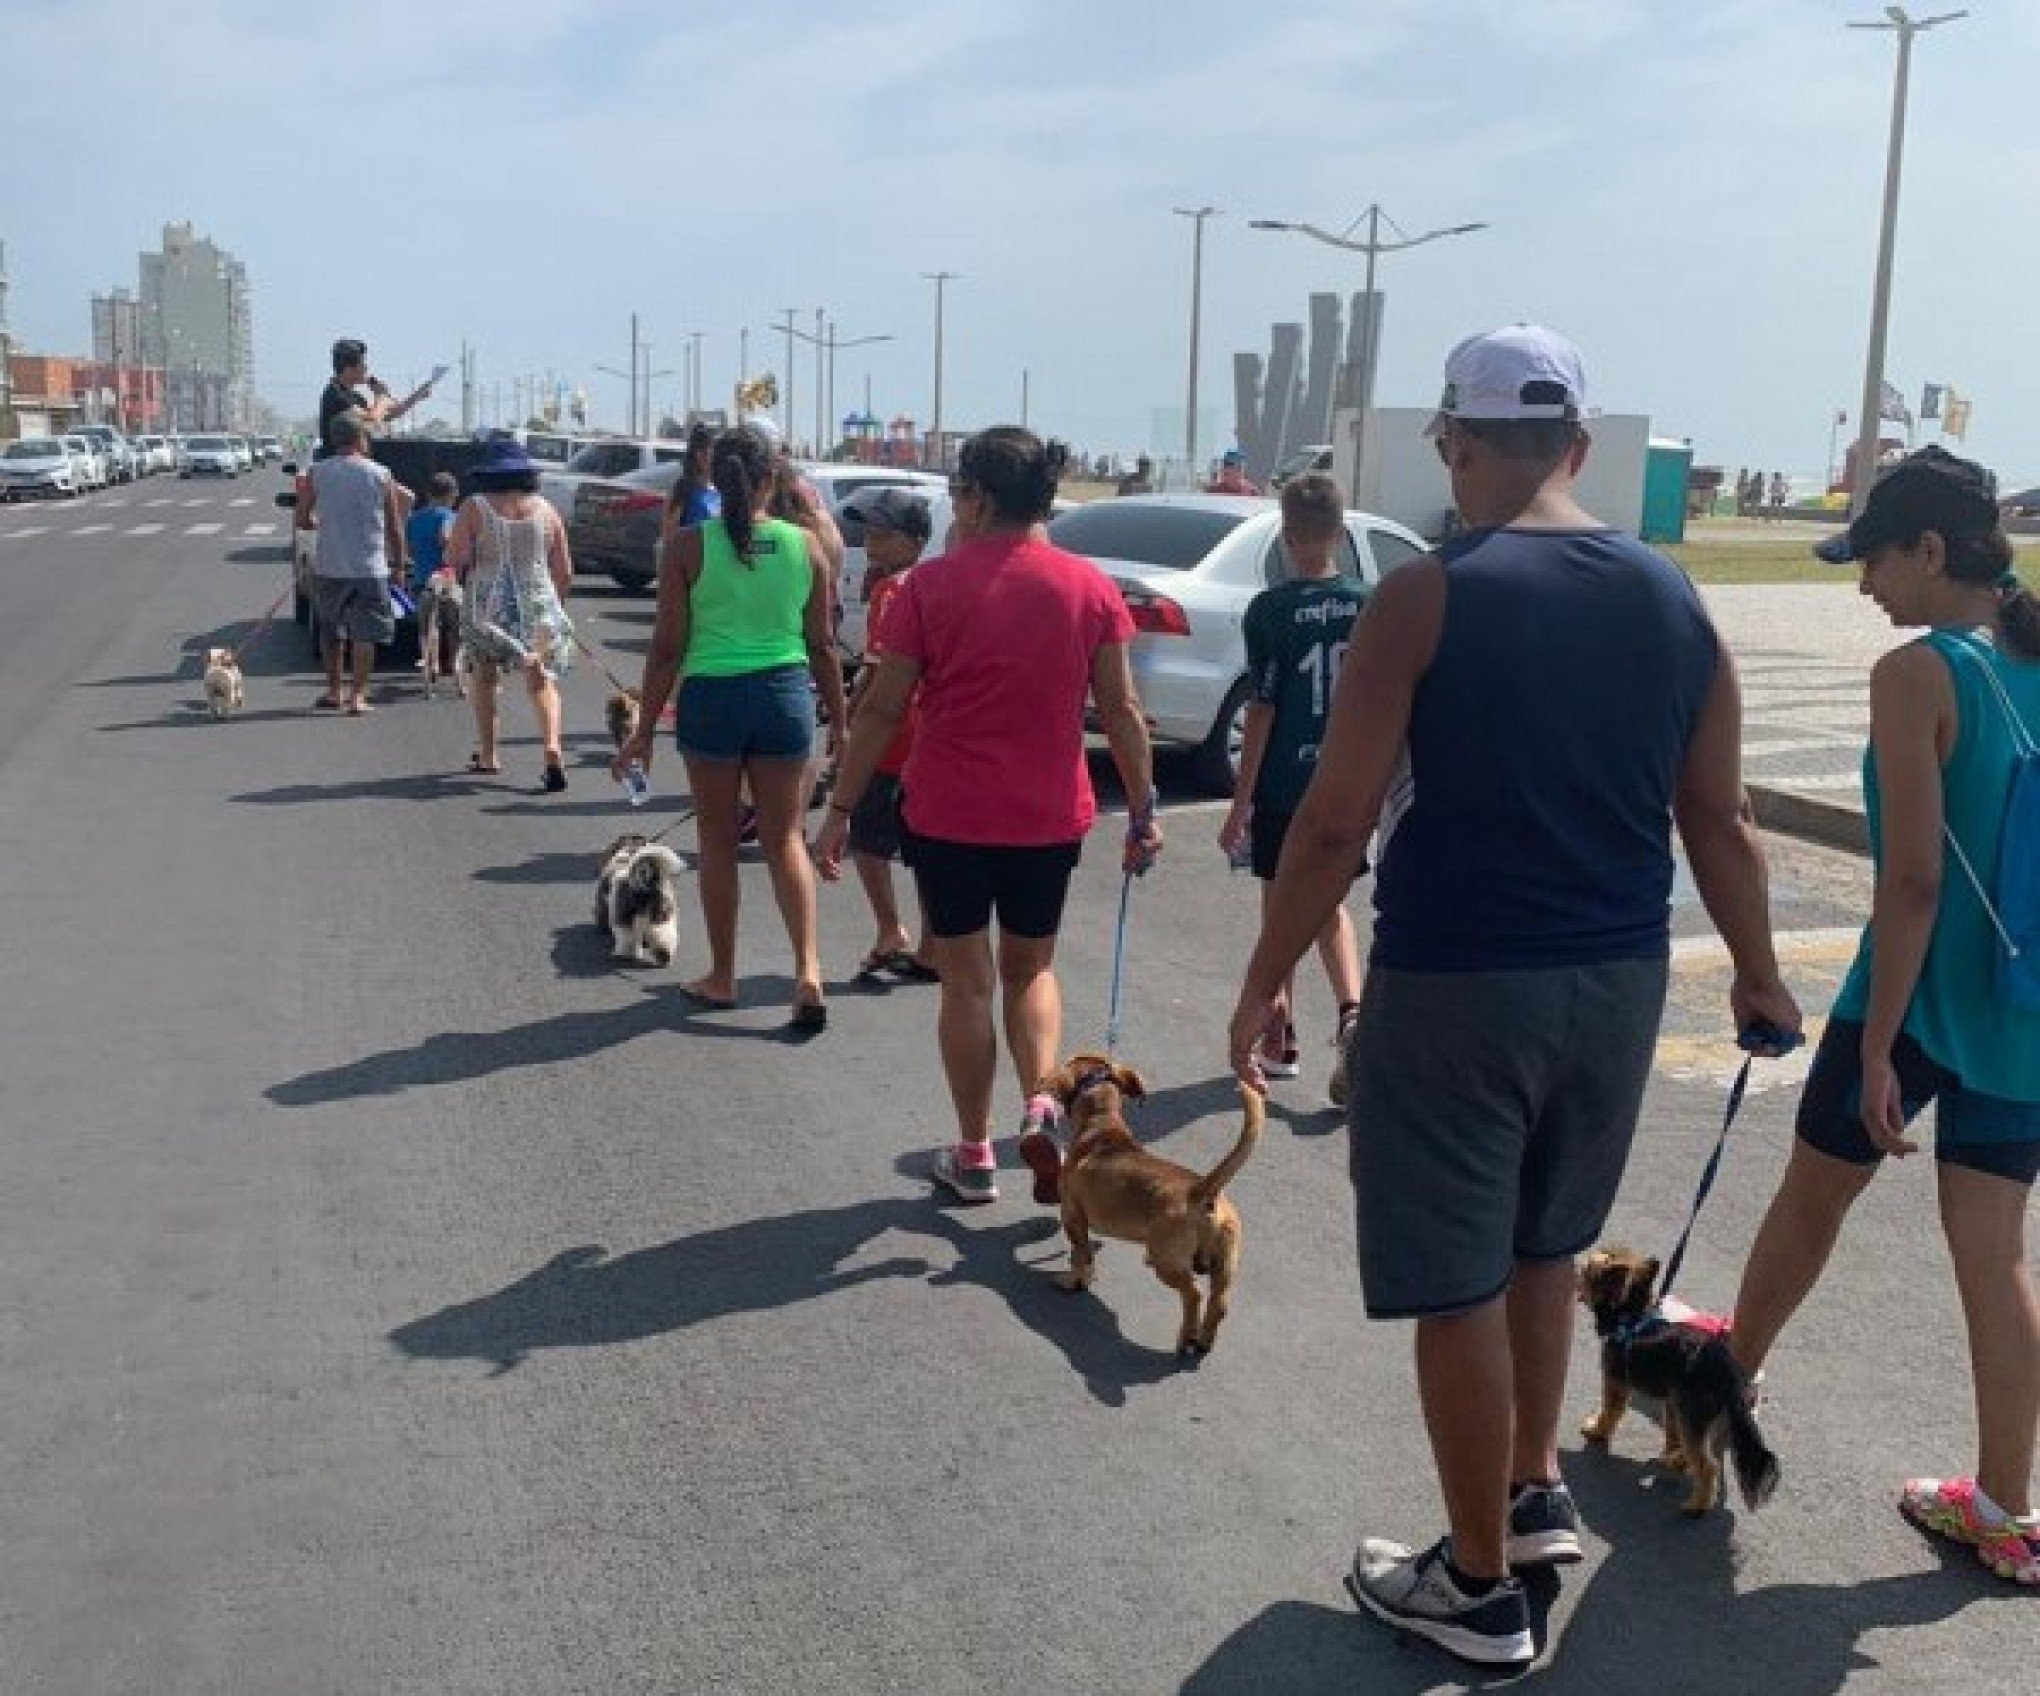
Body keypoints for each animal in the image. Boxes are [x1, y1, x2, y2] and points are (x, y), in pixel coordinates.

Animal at [1044, 1053, 1264, 1363]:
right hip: (1225, 1264)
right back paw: (1203, 1342)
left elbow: (1080, 1256)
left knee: (1193, 1295)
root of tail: (1202, 1191)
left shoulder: (1072, 1217)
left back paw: (1185, 1339)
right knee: (1219, 1303)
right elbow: (1086, 1256)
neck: (1101, 1124)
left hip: (1166, 1263)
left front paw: (1074, 1281)